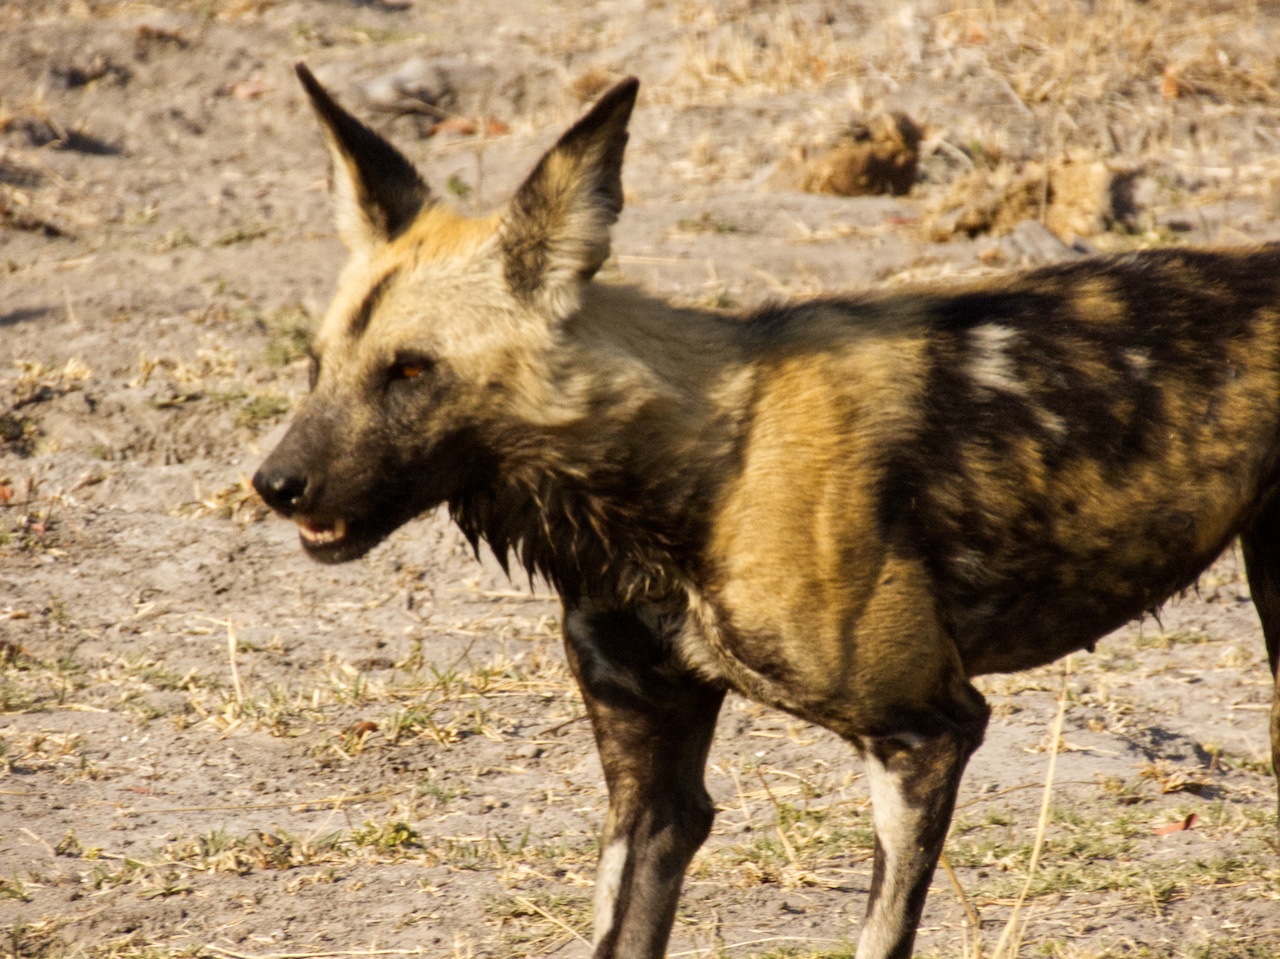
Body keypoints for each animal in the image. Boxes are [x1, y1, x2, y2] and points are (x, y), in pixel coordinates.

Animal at [254, 69, 1280, 957]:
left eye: (411, 371)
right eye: (316, 366)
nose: (275, 484)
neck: (685, 476)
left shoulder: (926, 733)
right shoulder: (653, 784)